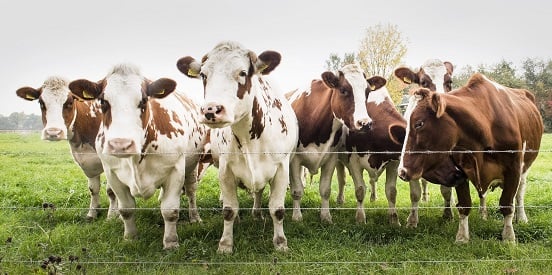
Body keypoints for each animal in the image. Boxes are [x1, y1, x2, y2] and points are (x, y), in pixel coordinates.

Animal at [16, 77, 117, 220]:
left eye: (69, 102)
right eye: (41, 102)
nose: (53, 132)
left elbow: (111, 191)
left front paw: (112, 215)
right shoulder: (87, 162)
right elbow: (93, 189)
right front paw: (92, 213)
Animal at [68, 64, 208, 250]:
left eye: (143, 101)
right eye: (103, 102)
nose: (121, 144)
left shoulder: (176, 169)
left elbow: (170, 211)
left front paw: (171, 242)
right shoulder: (112, 173)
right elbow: (126, 209)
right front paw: (130, 237)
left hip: (192, 165)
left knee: (191, 191)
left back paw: (195, 217)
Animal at [176, 41, 298, 254]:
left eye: (242, 72)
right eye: (203, 75)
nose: (211, 110)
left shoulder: (282, 168)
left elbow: (277, 209)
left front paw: (281, 243)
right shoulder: (225, 170)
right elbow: (229, 209)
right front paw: (225, 244)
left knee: (258, 192)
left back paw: (257, 214)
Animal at [288, 64, 376, 224]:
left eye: (367, 92)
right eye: (343, 90)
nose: (365, 123)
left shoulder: (331, 158)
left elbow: (325, 190)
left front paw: (326, 216)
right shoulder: (295, 160)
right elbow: (297, 190)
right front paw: (297, 217)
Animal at [396, 74, 544, 244]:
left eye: (419, 123)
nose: (402, 171)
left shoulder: (513, 169)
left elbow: (507, 204)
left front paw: (508, 237)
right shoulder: (461, 171)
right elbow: (464, 205)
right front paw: (462, 237)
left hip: (525, 169)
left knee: (520, 193)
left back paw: (521, 217)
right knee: (483, 195)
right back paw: (483, 214)